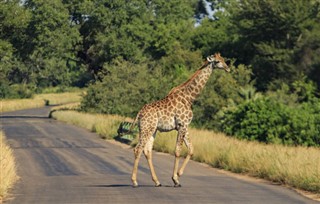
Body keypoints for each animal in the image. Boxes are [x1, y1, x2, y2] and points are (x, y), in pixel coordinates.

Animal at [131, 53, 230, 188]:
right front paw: (175, 179)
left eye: (224, 59)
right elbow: (178, 151)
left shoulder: (185, 126)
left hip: (151, 129)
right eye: (218, 61)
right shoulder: (182, 124)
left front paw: (178, 174)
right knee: (138, 149)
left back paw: (157, 182)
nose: (227, 68)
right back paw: (135, 181)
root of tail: (139, 113)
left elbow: (191, 149)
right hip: (147, 128)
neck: (189, 97)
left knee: (147, 151)